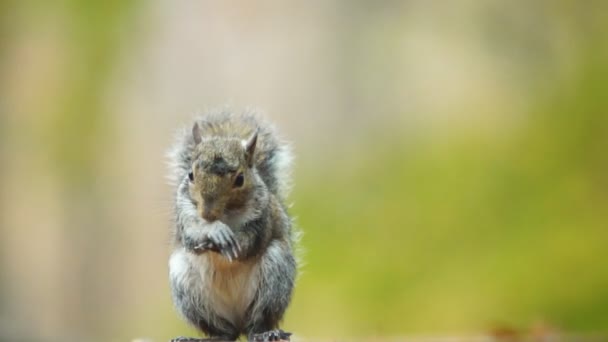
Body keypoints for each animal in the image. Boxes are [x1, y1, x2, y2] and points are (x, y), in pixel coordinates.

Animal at [166, 109, 300, 342]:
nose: (207, 213)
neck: (225, 217)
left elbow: (246, 246)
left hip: (275, 276)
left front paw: (225, 241)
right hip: (187, 288)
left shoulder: (260, 221)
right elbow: (193, 237)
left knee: (258, 321)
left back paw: (266, 333)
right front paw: (214, 232)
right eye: (190, 175)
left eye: (240, 179)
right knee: (223, 332)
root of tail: (239, 324)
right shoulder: (185, 216)